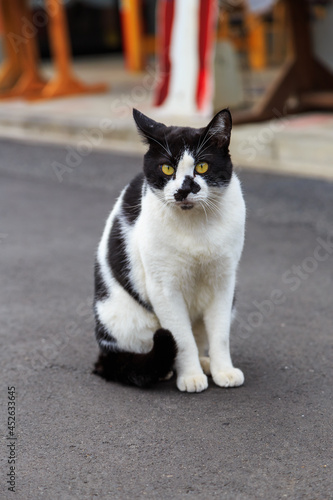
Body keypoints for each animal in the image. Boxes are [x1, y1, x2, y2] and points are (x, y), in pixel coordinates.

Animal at [92, 107, 245, 392]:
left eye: (202, 166)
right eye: (167, 167)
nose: (183, 190)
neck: (195, 228)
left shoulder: (223, 281)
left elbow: (220, 335)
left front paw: (224, 371)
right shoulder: (164, 288)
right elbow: (181, 339)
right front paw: (191, 376)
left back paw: (206, 363)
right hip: (123, 316)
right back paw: (166, 371)